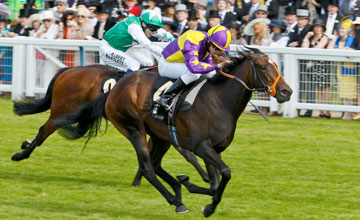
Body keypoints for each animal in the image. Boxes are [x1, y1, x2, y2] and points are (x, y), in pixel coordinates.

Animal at [11, 64, 210, 186]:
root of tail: (70, 70)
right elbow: (188, 154)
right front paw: (207, 177)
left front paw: (139, 179)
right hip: (60, 112)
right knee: (43, 131)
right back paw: (21, 154)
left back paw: (25, 145)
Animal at [53, 46, 294, 217]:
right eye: (263, 67)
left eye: (275, 65)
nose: (286, 91)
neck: (219, 101)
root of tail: (114, 90)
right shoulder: (201, 146)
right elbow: (224, 173)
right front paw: (206, 203)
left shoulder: (214, 149)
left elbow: (215, 183)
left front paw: (200, 196)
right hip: (134, 129)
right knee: (148, 168)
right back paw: (176, 201)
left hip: (161, 136)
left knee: (155, 163)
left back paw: (178, 191)